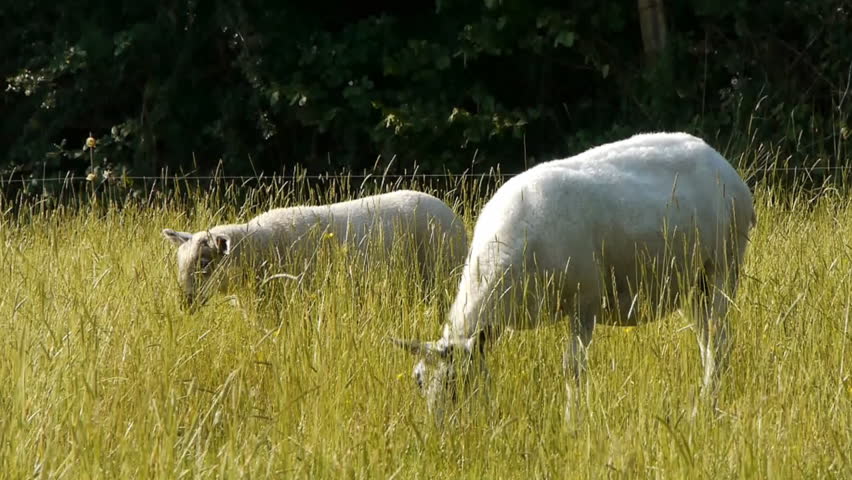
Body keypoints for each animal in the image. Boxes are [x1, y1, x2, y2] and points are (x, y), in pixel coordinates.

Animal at [392, 132, 756, 425]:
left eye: (457, 383)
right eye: (418, 379)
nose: (439, 431)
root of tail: (722, 163)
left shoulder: (585, 301)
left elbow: (573, 369)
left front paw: (572, 422)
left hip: (724, 265)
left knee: (719, 341)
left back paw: (707, 407)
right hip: (694, 285)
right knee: (707, 341)